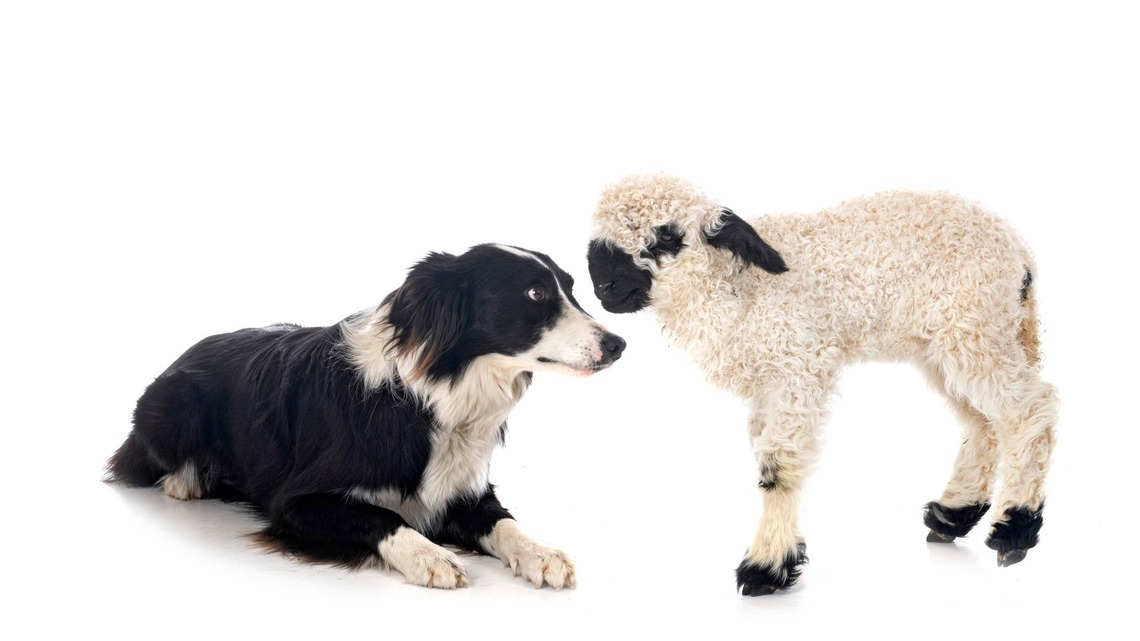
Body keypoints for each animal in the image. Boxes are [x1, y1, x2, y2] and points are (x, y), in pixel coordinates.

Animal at [585, 174, 1056, 595]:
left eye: (666, 236)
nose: (603, 286)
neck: (740, 289)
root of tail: (1022, 256)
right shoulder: (768, 387)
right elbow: (766, 457)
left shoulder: (799, 365)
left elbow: (778, 465)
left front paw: (766, 568)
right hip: (947, 344)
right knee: (984, 421)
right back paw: (953, 514)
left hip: (974, 326)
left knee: (1030, 409)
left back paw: (1014, 528)